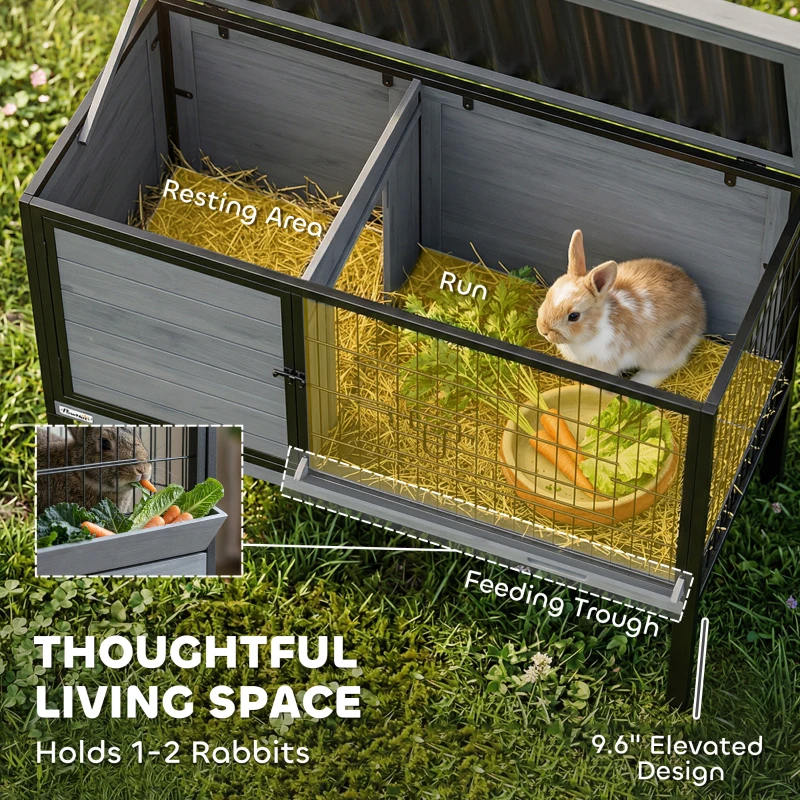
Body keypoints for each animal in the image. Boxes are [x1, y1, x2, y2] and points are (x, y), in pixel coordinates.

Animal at [536, 230, 706, 387]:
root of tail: (700, 308)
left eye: (573, 316)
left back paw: (640, 380)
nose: (544, 330)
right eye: (549, 294)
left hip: (666, 351)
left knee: (668, 367)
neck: (596, 328)